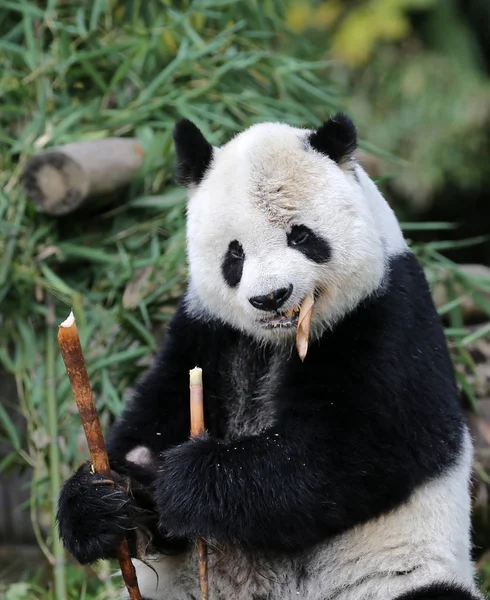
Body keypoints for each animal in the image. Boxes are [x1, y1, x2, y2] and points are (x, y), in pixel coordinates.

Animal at [55, 113, 480, 600]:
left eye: (301, 236)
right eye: (234, 253)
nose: (271, 297)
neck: (277, 342)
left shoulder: (388, 319)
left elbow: (350, 452)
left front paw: (190, 479)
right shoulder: (206, 332)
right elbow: (151, 429)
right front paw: (102, 501)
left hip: (391, 575)